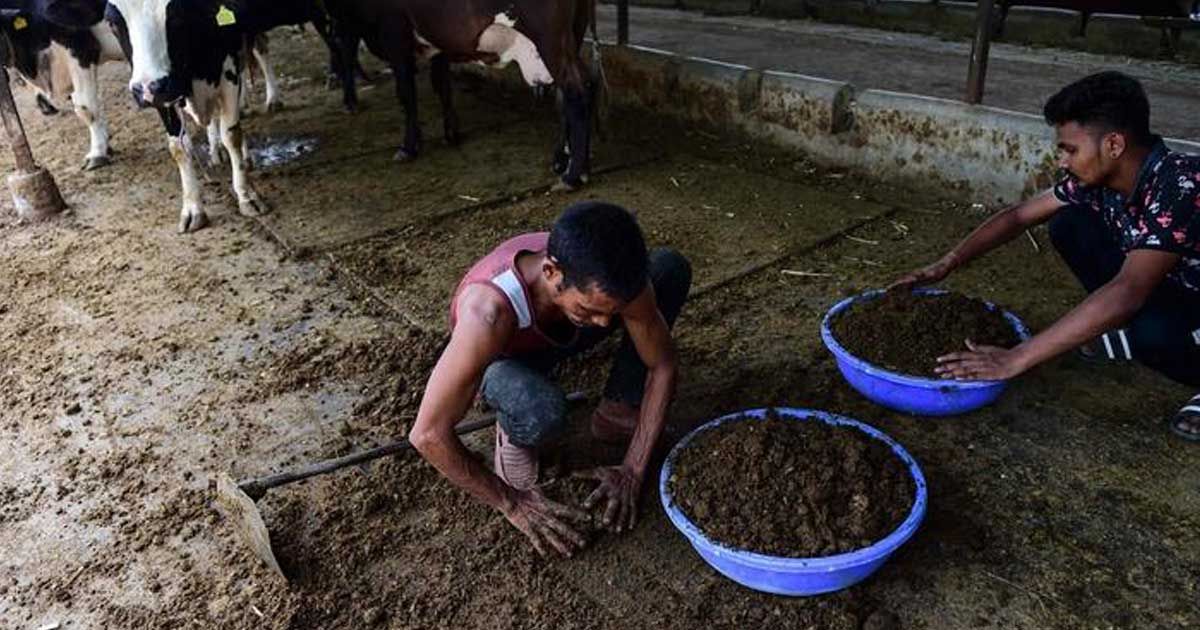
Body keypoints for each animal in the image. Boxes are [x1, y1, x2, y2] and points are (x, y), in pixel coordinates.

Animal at [326, 0, 600, 189]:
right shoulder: (436, 42)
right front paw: (451, 133)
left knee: (576, 90)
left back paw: (573, 175)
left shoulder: (393, 32)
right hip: (573, 31)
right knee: (572, 93)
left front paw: (408, 147)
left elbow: (406, 94)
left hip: (550, 38)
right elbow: (441, 85)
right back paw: (566, 162)